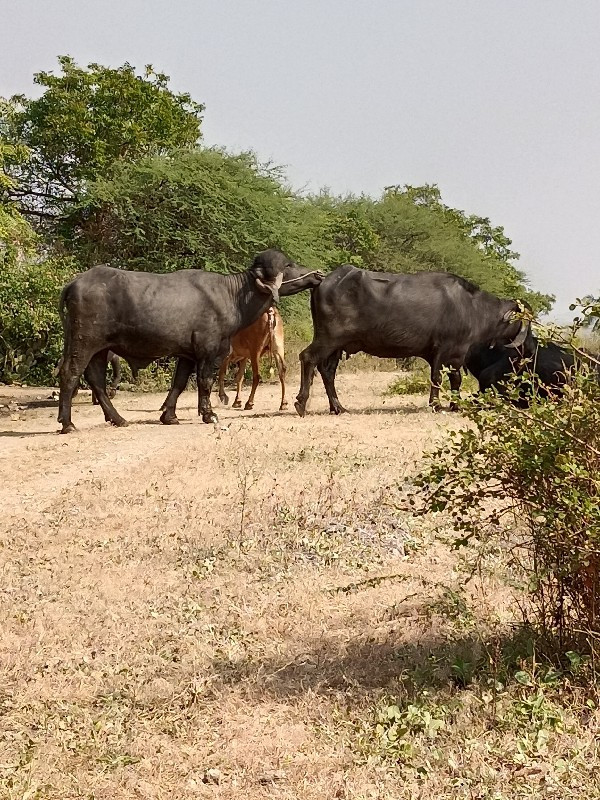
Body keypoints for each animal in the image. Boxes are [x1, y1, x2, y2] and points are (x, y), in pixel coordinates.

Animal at [56, 253, 324, 434]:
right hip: (84, 342)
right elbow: (205, 381)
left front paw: (169, 415)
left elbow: (179, 383)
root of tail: (75, 283)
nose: (318, 275)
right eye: (288, 265)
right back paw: (67, 423)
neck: (232, 295)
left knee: (96, 380)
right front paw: (209, 413)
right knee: (70, 374)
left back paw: (117, 418)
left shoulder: (186, 354)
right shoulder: (209, 350)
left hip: (99, 350)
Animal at [292, 268, 532, 418]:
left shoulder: (454, 355)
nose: (528, 342)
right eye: (525, 321)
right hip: (328, 338)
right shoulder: (445, 350)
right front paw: (436, 404)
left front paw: (454, 404)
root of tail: (323, 280)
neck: (472, 308)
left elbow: (455, 379)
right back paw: (301, 403)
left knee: (327, 371)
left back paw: (338, 407)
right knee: (308, 357)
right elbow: (437, 378)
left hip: (337, 345)